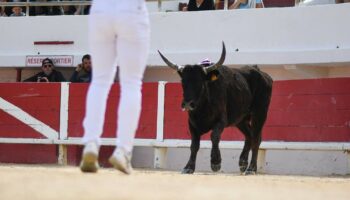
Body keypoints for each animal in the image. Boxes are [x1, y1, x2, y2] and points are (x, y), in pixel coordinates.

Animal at [159, 43, 274, 174]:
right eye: (183, 82)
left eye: (200, 82)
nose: (188, 104)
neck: (202, 109)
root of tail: (262, 73)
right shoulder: (192, 124)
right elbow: (194, 145)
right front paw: (188, 167)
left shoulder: (221, 120)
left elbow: (214, 136)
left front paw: (215, 163)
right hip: (241, 120)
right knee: (249, 135)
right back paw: (243, 163)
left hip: (260, 113)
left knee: (256, 138)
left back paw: (251, 168)